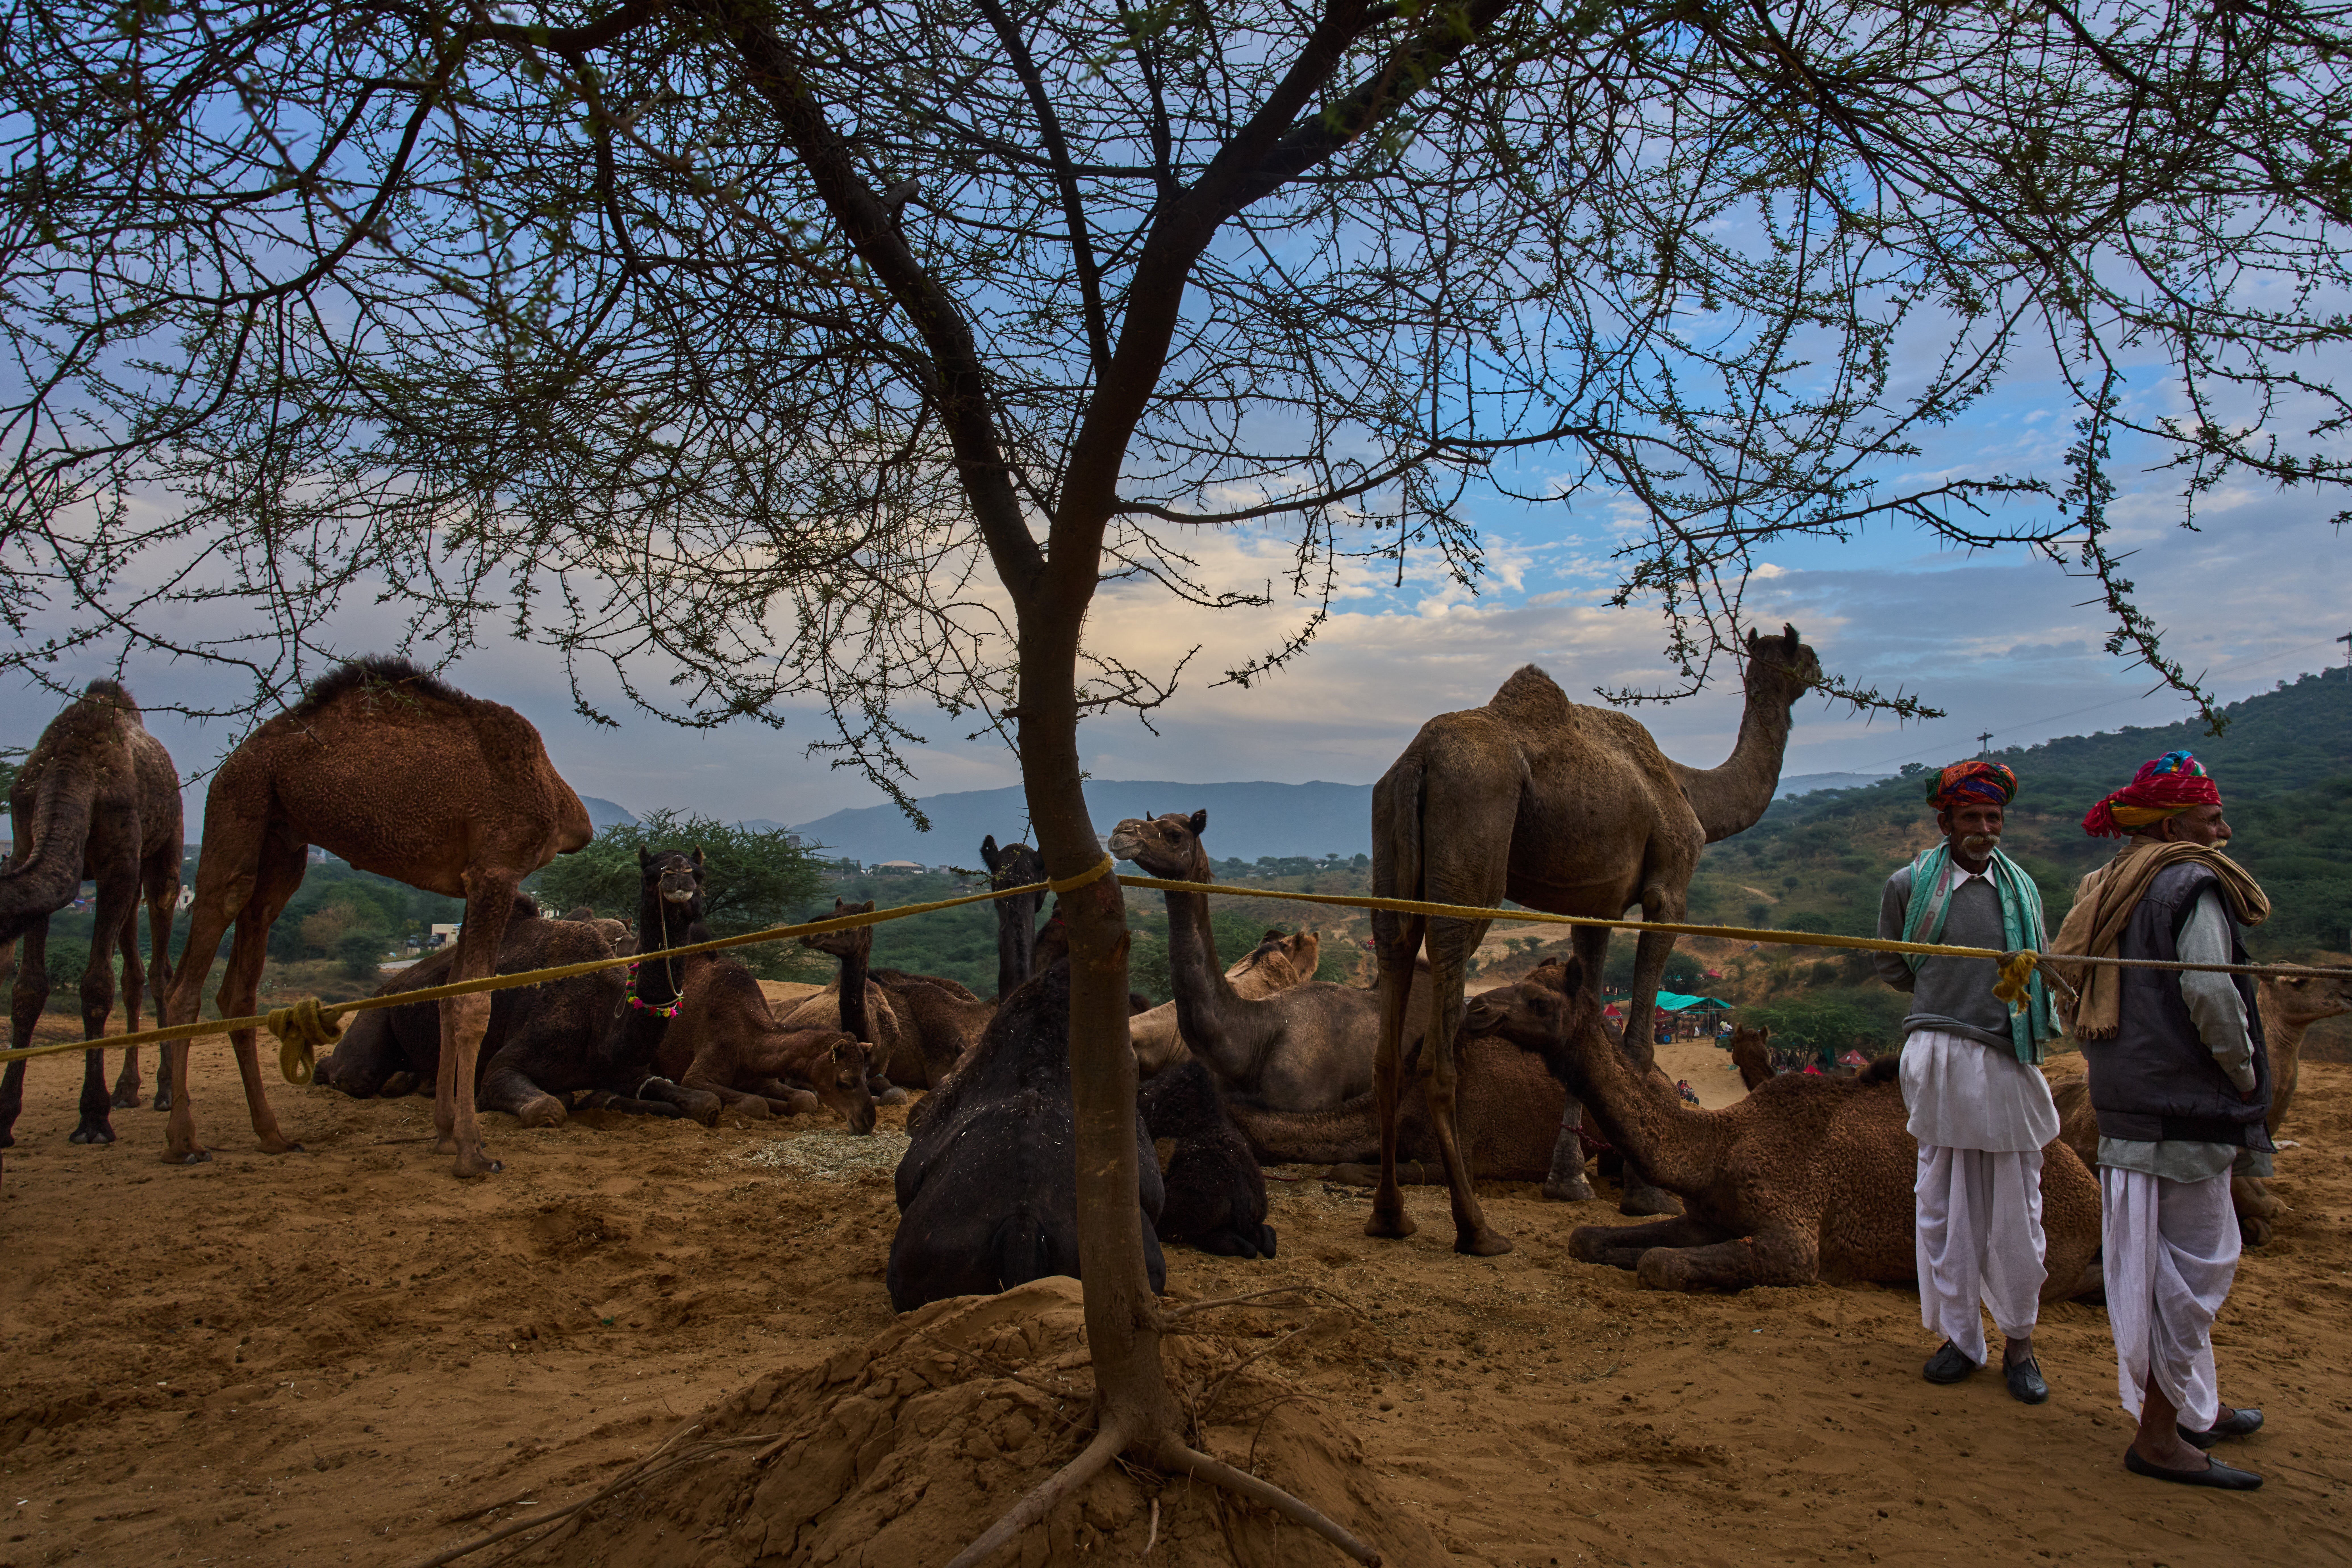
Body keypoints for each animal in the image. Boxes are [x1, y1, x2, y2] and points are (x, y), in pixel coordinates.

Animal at [1, 680, 183, 1148]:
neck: (71, 768)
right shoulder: (27, 842)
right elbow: (28, 989)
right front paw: (4, 1119)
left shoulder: (117, 865)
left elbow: (97, 985)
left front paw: (94, 1120)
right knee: (134, 975)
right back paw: (127, 1090)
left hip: (163, 853)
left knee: (161, 968)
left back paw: (166, 1092)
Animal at [157, 657, 592, 1176]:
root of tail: (237, 759)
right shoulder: (497, 869)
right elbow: (472, 1004)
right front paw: (472, 1151)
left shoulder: (473, 881)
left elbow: (450, 996)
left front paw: (445, 1134)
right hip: (237, 805)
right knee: (190, 974)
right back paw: (184, 1140)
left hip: (281, 842)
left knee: (241, 978)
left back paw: (273, 1136)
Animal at [1367, 624, 1822, 1254]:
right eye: (1800, 656)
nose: (1820, 673)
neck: (1689, 791)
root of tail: (1418, 761)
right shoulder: (1669, 890)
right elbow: (1637, 1041)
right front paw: (1645, 1194)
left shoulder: (1595, 906)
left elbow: (1585, 1018)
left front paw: (1568, 1182)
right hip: (1472, 849)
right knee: (1439, 1042)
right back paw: (1477, 1228)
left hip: (1389, 840)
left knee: (1389, 1014)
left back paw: (1390, 1216)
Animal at [1478, 959, 2102, 1294]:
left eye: (1538, 1001)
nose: (1478, 1010)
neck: (1719, 1145)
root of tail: (2091, 1191)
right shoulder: (1706, 1218)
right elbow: (1588, 1238)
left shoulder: (1793, 1234)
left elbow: (1660, 1264)